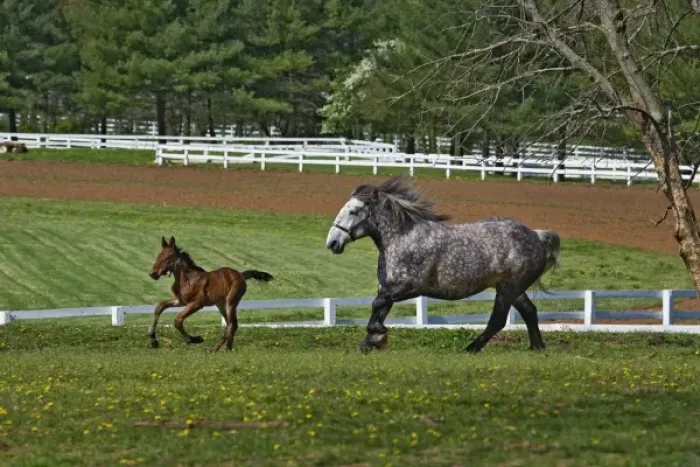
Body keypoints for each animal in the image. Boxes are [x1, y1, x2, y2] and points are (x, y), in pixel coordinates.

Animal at [324, 175, 560, 353]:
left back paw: (471, 348)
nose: (332, 242)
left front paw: (378, 335)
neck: (402, 239)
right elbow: (379, 309)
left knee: (499, 320)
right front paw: (370, 343)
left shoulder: (408, 287)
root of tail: (536, 236)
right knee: (529, 311)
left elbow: (377, 306)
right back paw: (537, 347)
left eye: (354, 210)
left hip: (508, 288)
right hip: (512, 289)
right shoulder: (387, 287)